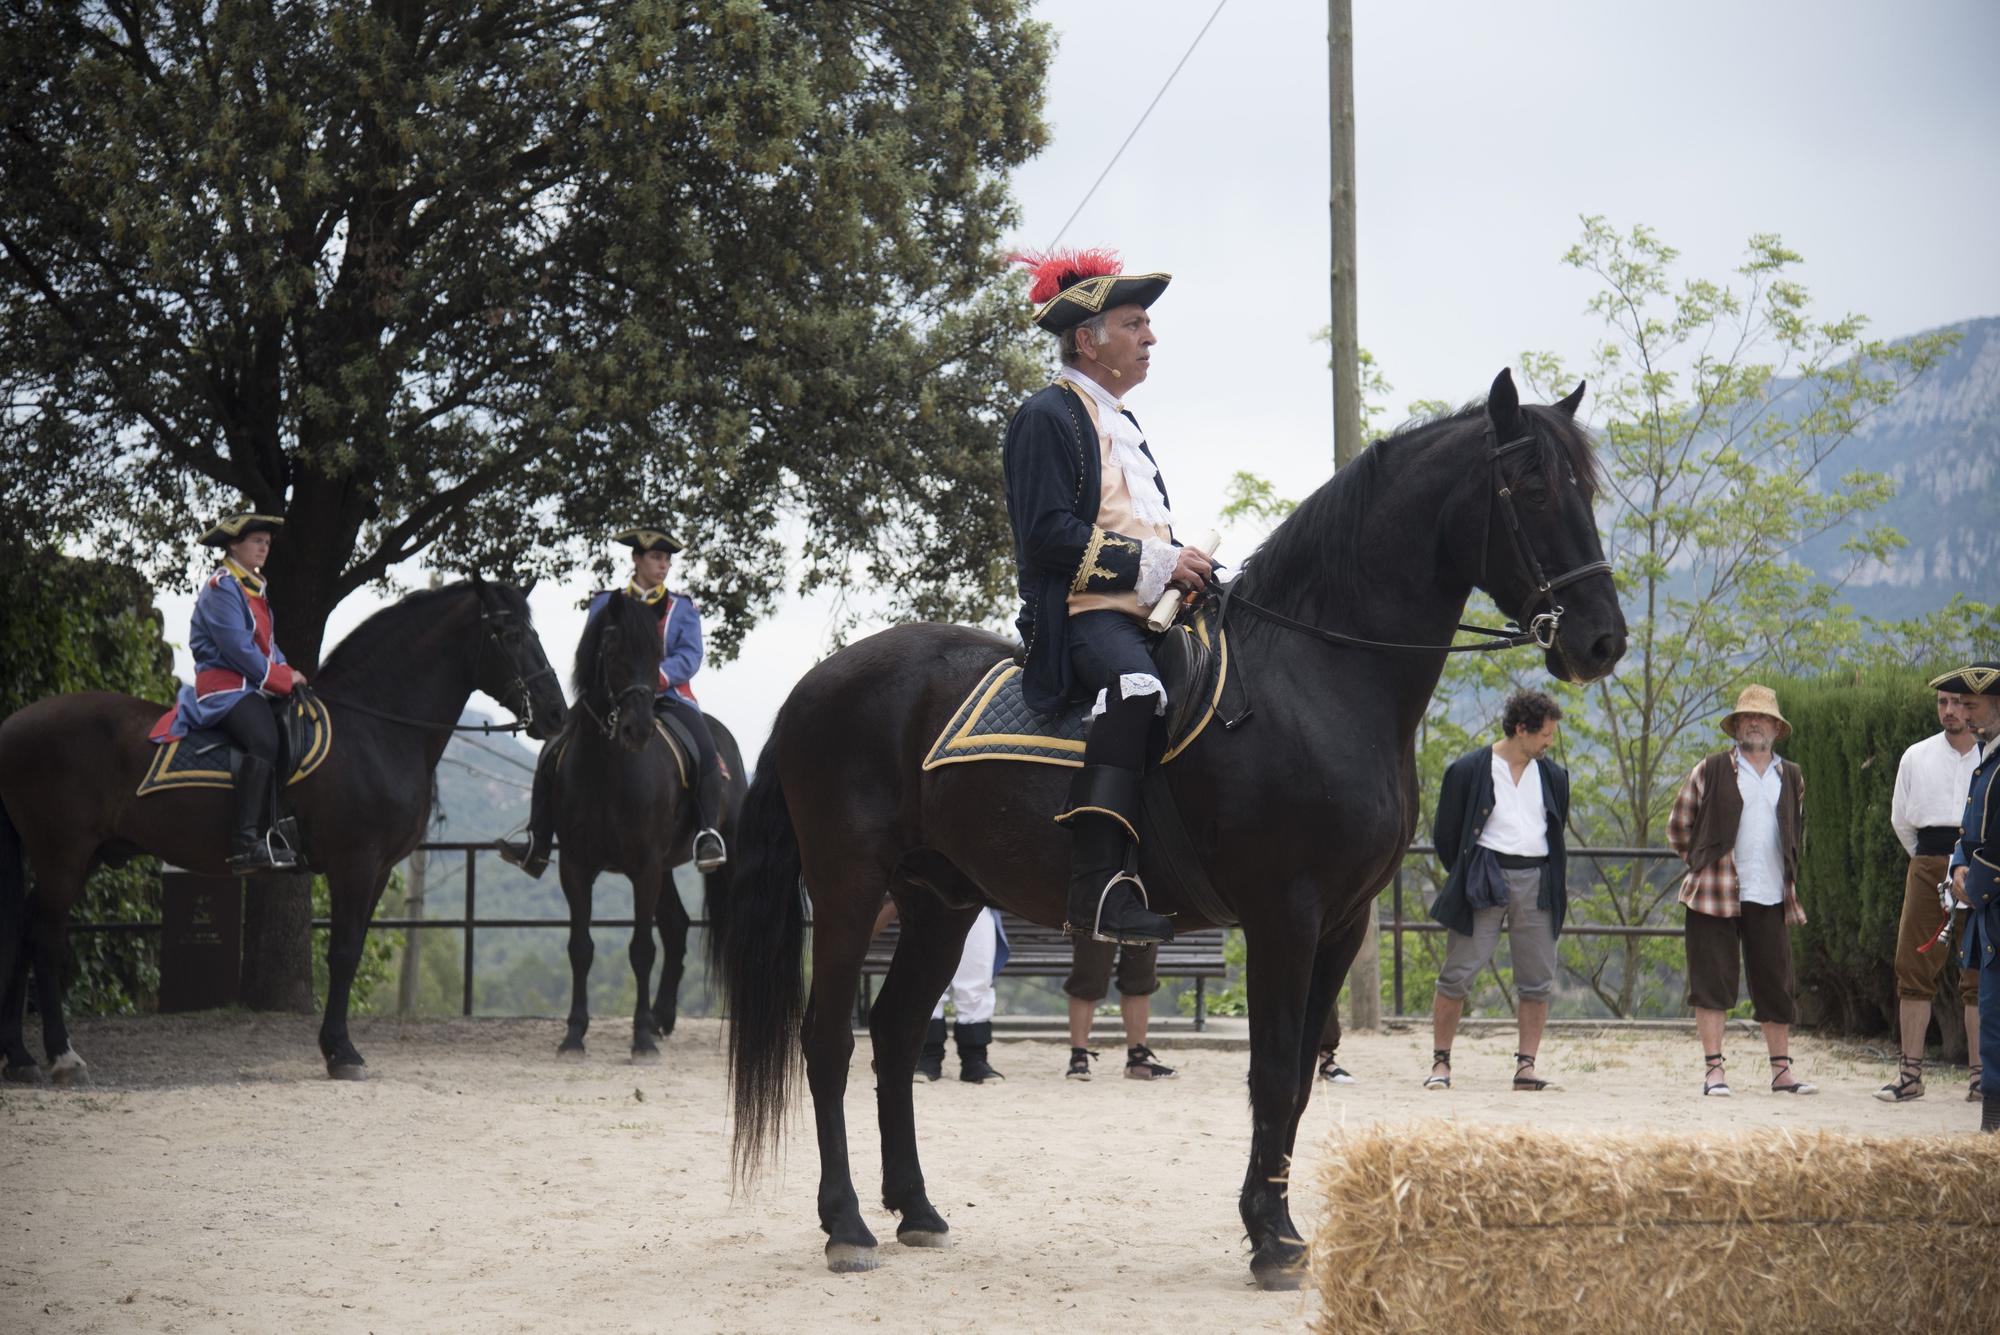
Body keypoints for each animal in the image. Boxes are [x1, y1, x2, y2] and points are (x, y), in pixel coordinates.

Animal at [0, 579, 568, 1079]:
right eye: (511, 635)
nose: (556, 715)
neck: (374, 729)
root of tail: (14, 723)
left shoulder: (378, 870)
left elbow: (351, 950)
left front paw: (337, 1047)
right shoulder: (354, 864)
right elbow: (343, 953)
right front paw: (341, 1053)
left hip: (78, 856)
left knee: (25, 931)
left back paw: (21, 1058)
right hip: (63, 854)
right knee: (45, 938)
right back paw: (62, 1056)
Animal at [540, 587, 744, 1055]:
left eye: (656, 655)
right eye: (613, 652)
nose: (639, 729)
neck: (607, 770)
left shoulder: (644, 867)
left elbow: (641, 950)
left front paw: (640, 1039)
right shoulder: (575, 866)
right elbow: (581, 947)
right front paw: (574, 1034)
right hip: (665, 866)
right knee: (676, 926)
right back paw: (661, 1016)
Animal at [712, 369, 1632, 1287]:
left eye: (1584, 488)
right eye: (1534, 487)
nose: (1602, 641)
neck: (1316, 678)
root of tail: (812, 685)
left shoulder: (1341, 923)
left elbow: (1299, 1078)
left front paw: (1278, 1226)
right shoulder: (1284, 915)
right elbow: (1273, 1072)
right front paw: (1271, 1238)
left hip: (941, 901)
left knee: (898, 1035)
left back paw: (917, 1209)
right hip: (849, 890)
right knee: (828, 1040)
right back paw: (847, 1223)